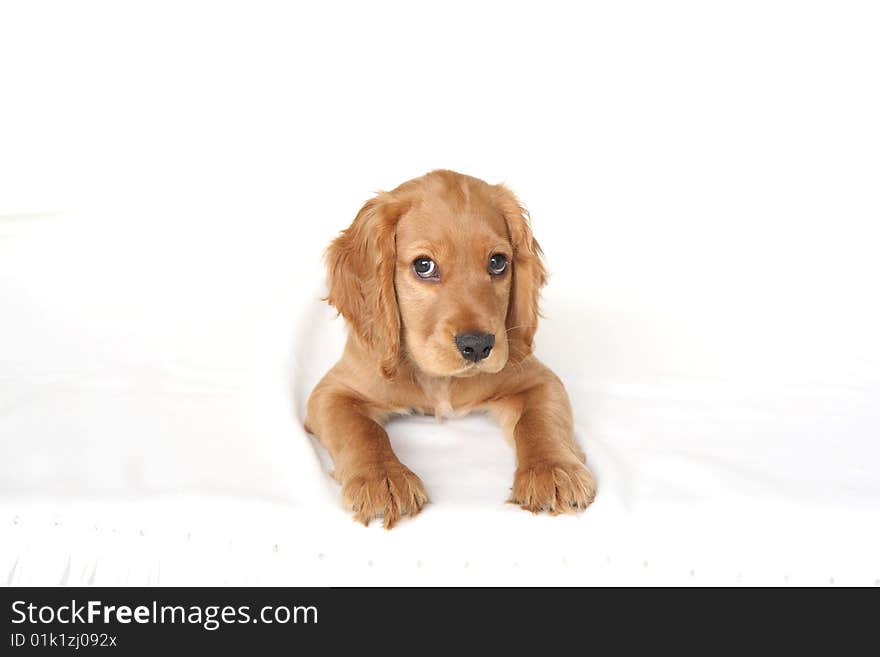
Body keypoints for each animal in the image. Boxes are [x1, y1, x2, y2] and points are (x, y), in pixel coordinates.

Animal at [304, 170, 600, 528]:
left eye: (498, 262)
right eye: (424, 266)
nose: (478, 345)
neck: (438, 379)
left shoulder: (539, 379)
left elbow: (539, 420)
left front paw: (552, 469)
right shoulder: (332, 392)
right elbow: (361, 430)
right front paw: (382, 478)